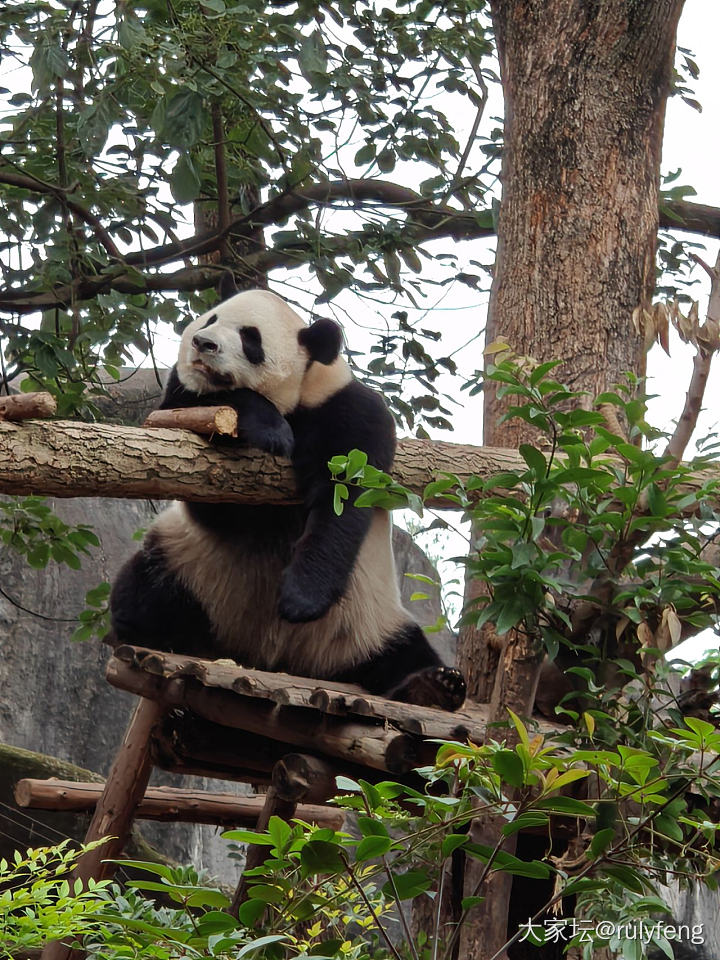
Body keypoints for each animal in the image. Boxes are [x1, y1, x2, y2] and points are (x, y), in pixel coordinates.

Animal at [109, 288, 464, 708]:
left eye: (250, 338)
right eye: (210, 320)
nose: (202, 343)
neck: (296, 401)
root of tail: (280, 659)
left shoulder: (346, 407)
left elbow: (345, 497)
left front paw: (301, 598)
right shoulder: (181, 406)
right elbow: (212, 492)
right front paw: (271, 430)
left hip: (370, 620)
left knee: (403, 653)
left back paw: (433, 686)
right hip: (189, 571)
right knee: (145, 591)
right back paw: (147, 628)